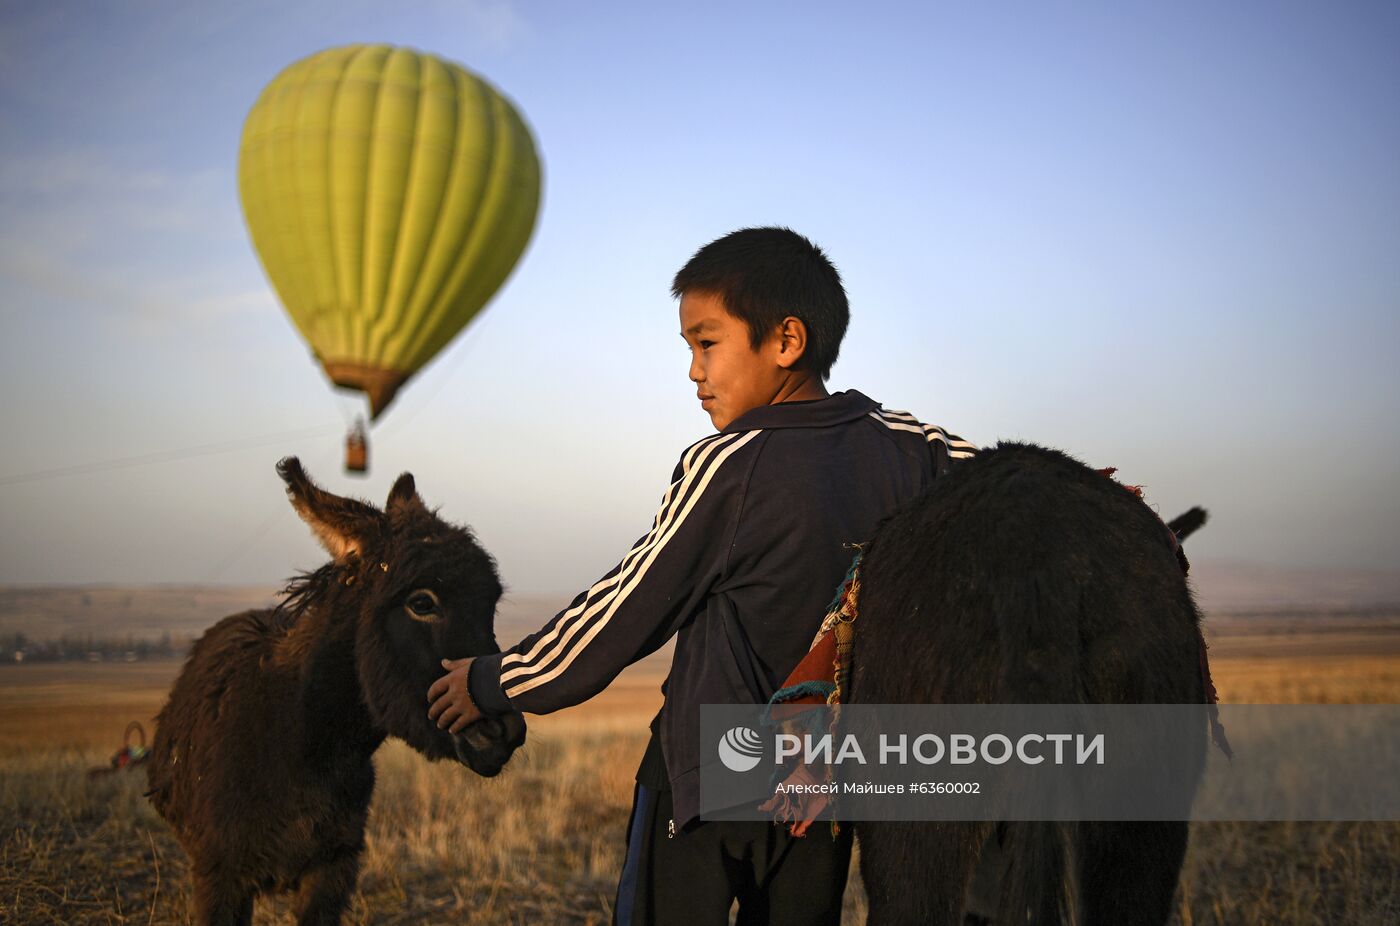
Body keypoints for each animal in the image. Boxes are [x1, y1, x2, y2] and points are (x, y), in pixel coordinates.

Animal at [146, 459, 526, 918]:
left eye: (491, 604)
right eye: (422, 603)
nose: (507, 732)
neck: (305, 742)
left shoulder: (334, 867)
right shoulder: (220, 876)